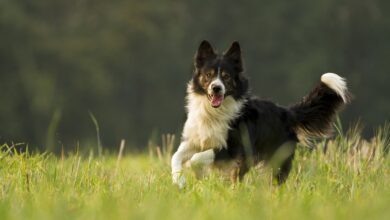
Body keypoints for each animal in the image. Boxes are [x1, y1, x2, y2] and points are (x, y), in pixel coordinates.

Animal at [171, 40, 350, 188]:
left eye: (226, 77)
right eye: (208, 75)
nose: (216, 88)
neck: (214, 112)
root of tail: (287, 112)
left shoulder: (234, 148)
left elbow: (196, 159)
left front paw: (198, 174)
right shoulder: (195, 140)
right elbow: (176, 156)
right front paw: (179, 181)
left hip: (273, 159)